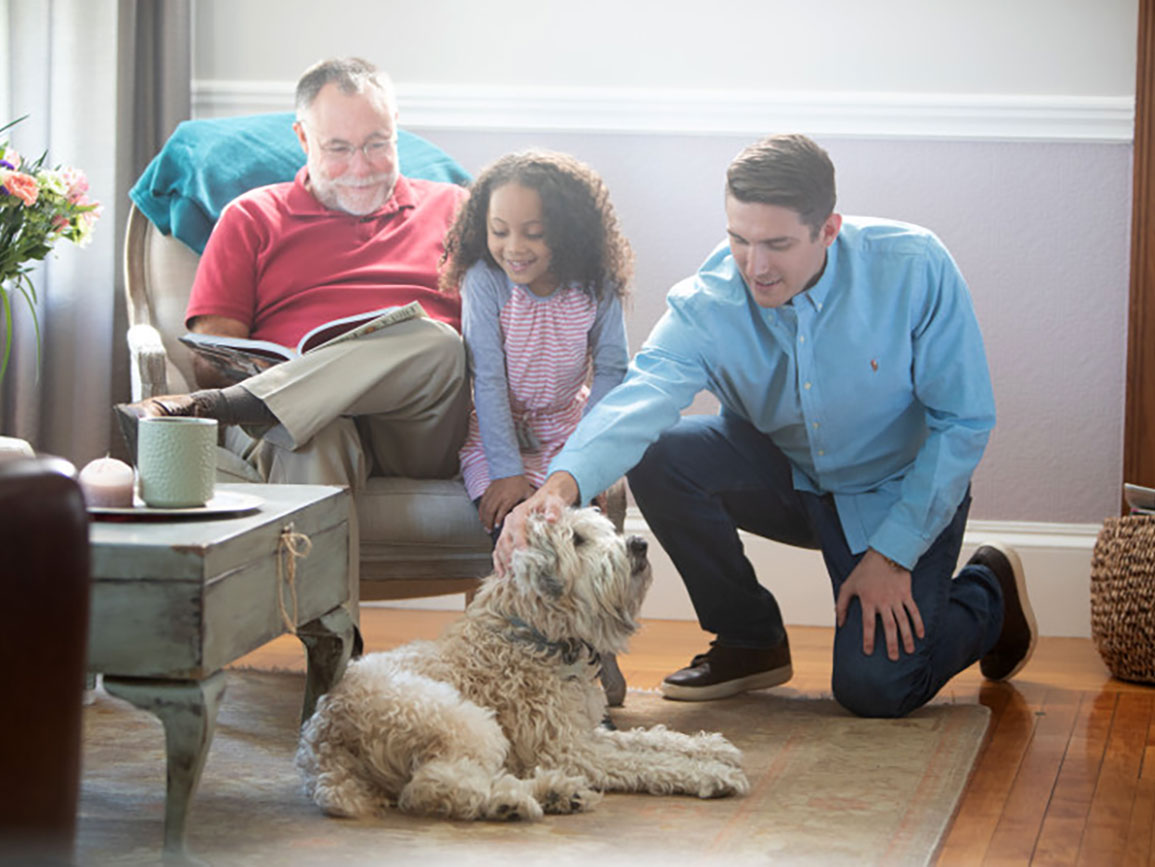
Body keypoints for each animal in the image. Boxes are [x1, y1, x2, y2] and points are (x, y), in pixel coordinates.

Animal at [295, 505, 748, 821]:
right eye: (578, 539)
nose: (639, 543)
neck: (538, 637)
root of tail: (322, 748)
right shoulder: (572, 751)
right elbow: (647, 762)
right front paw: (710, 773)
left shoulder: (584, 734)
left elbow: (649, 738)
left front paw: (711, 747)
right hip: (461, 721)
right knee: (435, 787)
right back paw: (514, 802)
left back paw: (555, 793)